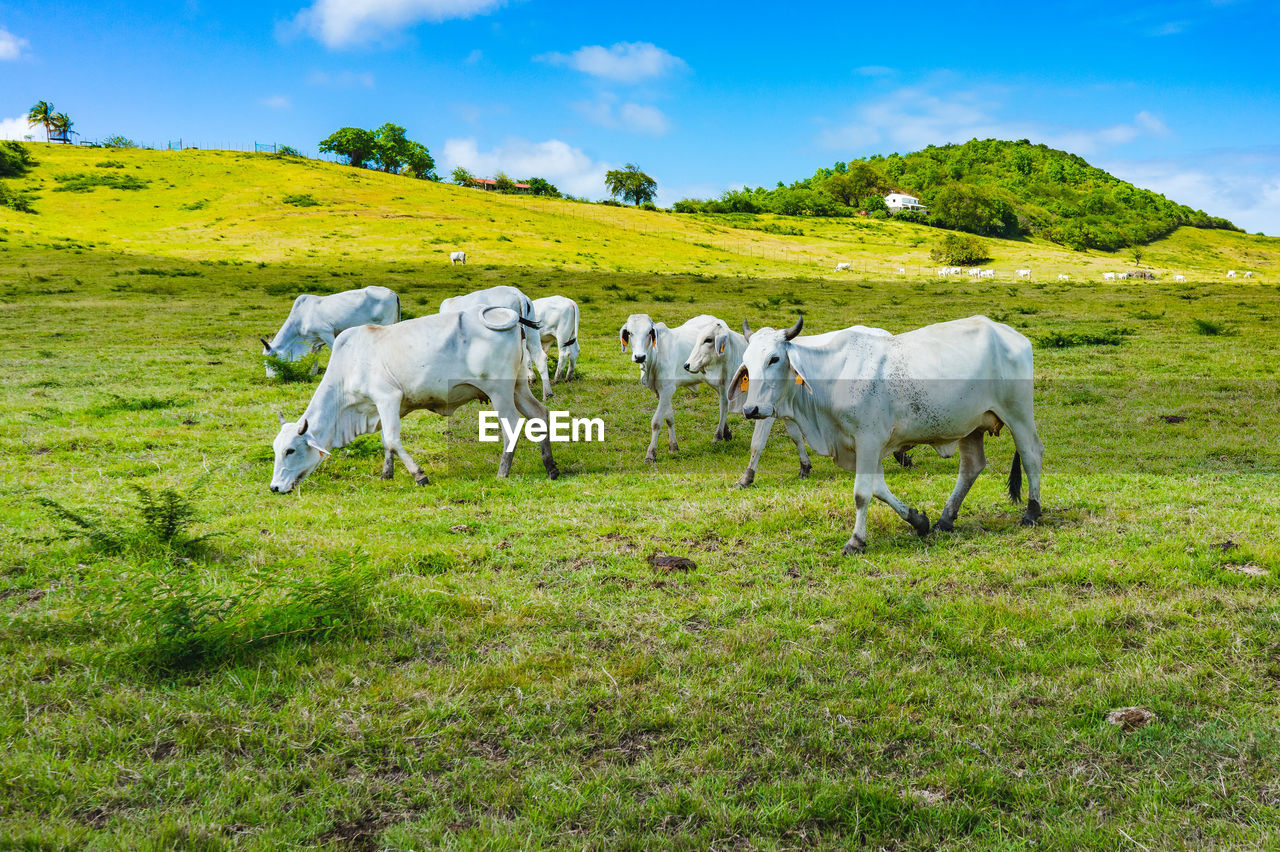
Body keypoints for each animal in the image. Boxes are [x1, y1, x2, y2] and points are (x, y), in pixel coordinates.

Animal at [261, 284, 396, 376]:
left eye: (271, 359)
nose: (271, 377)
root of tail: (392, 292)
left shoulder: (326, 333)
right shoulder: (315, 340)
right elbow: (314, 357)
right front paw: (313, 373)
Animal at [267, 303, 558, 491]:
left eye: (290, 450)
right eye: (275, 449)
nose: (275, 487)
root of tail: (511, 316)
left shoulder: (387, 398)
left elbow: (393, 440)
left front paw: (419, 476)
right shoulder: (381, 407)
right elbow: (386, 442)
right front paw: (386, 474)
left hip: (499, 392)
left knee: (512, 427)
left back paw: (502, 472)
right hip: (518, 387)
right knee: (539, 414)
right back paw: (551, 467)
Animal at [732, 314, 1039, 555]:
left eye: (774, 358)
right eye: (746, 361)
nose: (751, 409)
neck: (832, 375)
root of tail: (1011, 334)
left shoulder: (868, 440)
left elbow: (862, 493)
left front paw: (856, 540)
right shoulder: (863, 447)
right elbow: (879, 488)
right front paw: (918, 520)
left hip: (1019, 414)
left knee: (1031, 455)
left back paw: (1032, 512)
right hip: (970, 426)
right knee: (972, 467)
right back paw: (945, 519)